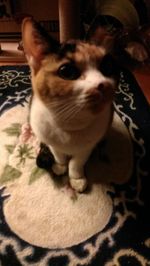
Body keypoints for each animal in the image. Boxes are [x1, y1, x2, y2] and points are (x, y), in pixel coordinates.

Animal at [21, 17, 119, 192]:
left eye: (107, 67)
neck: (70, 123)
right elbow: (59, 155)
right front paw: (60, 166)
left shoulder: (87, 147)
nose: (103, 84)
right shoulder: (51, 141)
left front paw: (76, 178)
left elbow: (76, 162)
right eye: (67, 71)